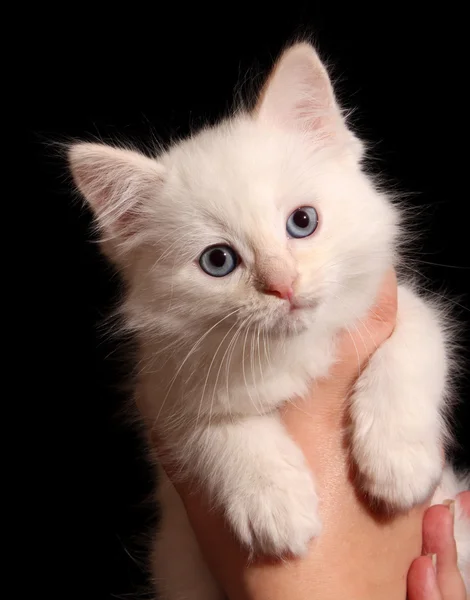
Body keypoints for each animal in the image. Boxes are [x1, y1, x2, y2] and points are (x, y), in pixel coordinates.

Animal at [68, 41, 468, 596]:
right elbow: (215, 428)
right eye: (218, 261)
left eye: (302, 222)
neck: (292, 351)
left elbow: (412, 344)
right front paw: (272, 502)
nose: (283, 284)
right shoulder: (164, 388)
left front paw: (397, 459)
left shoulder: (399, 305)